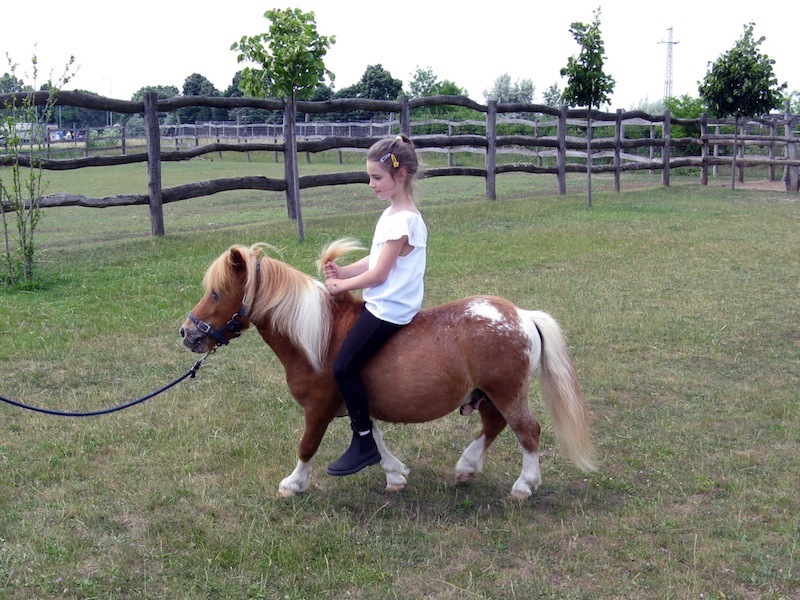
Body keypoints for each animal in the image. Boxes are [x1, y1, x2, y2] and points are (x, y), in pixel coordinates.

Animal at [180, 241, 592, 500]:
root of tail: (522, 315)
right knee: (494, 425)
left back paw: (524, 485)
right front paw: (395, 475)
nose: (187, 332)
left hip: (506, 391)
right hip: (490, 394)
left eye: (216, 293)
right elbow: (372, 436)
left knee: (527, 431)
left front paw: (293, 484)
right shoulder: (355, 402)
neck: (319, 335)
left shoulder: (318, 408)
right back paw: (467, 467)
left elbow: (308, 445)